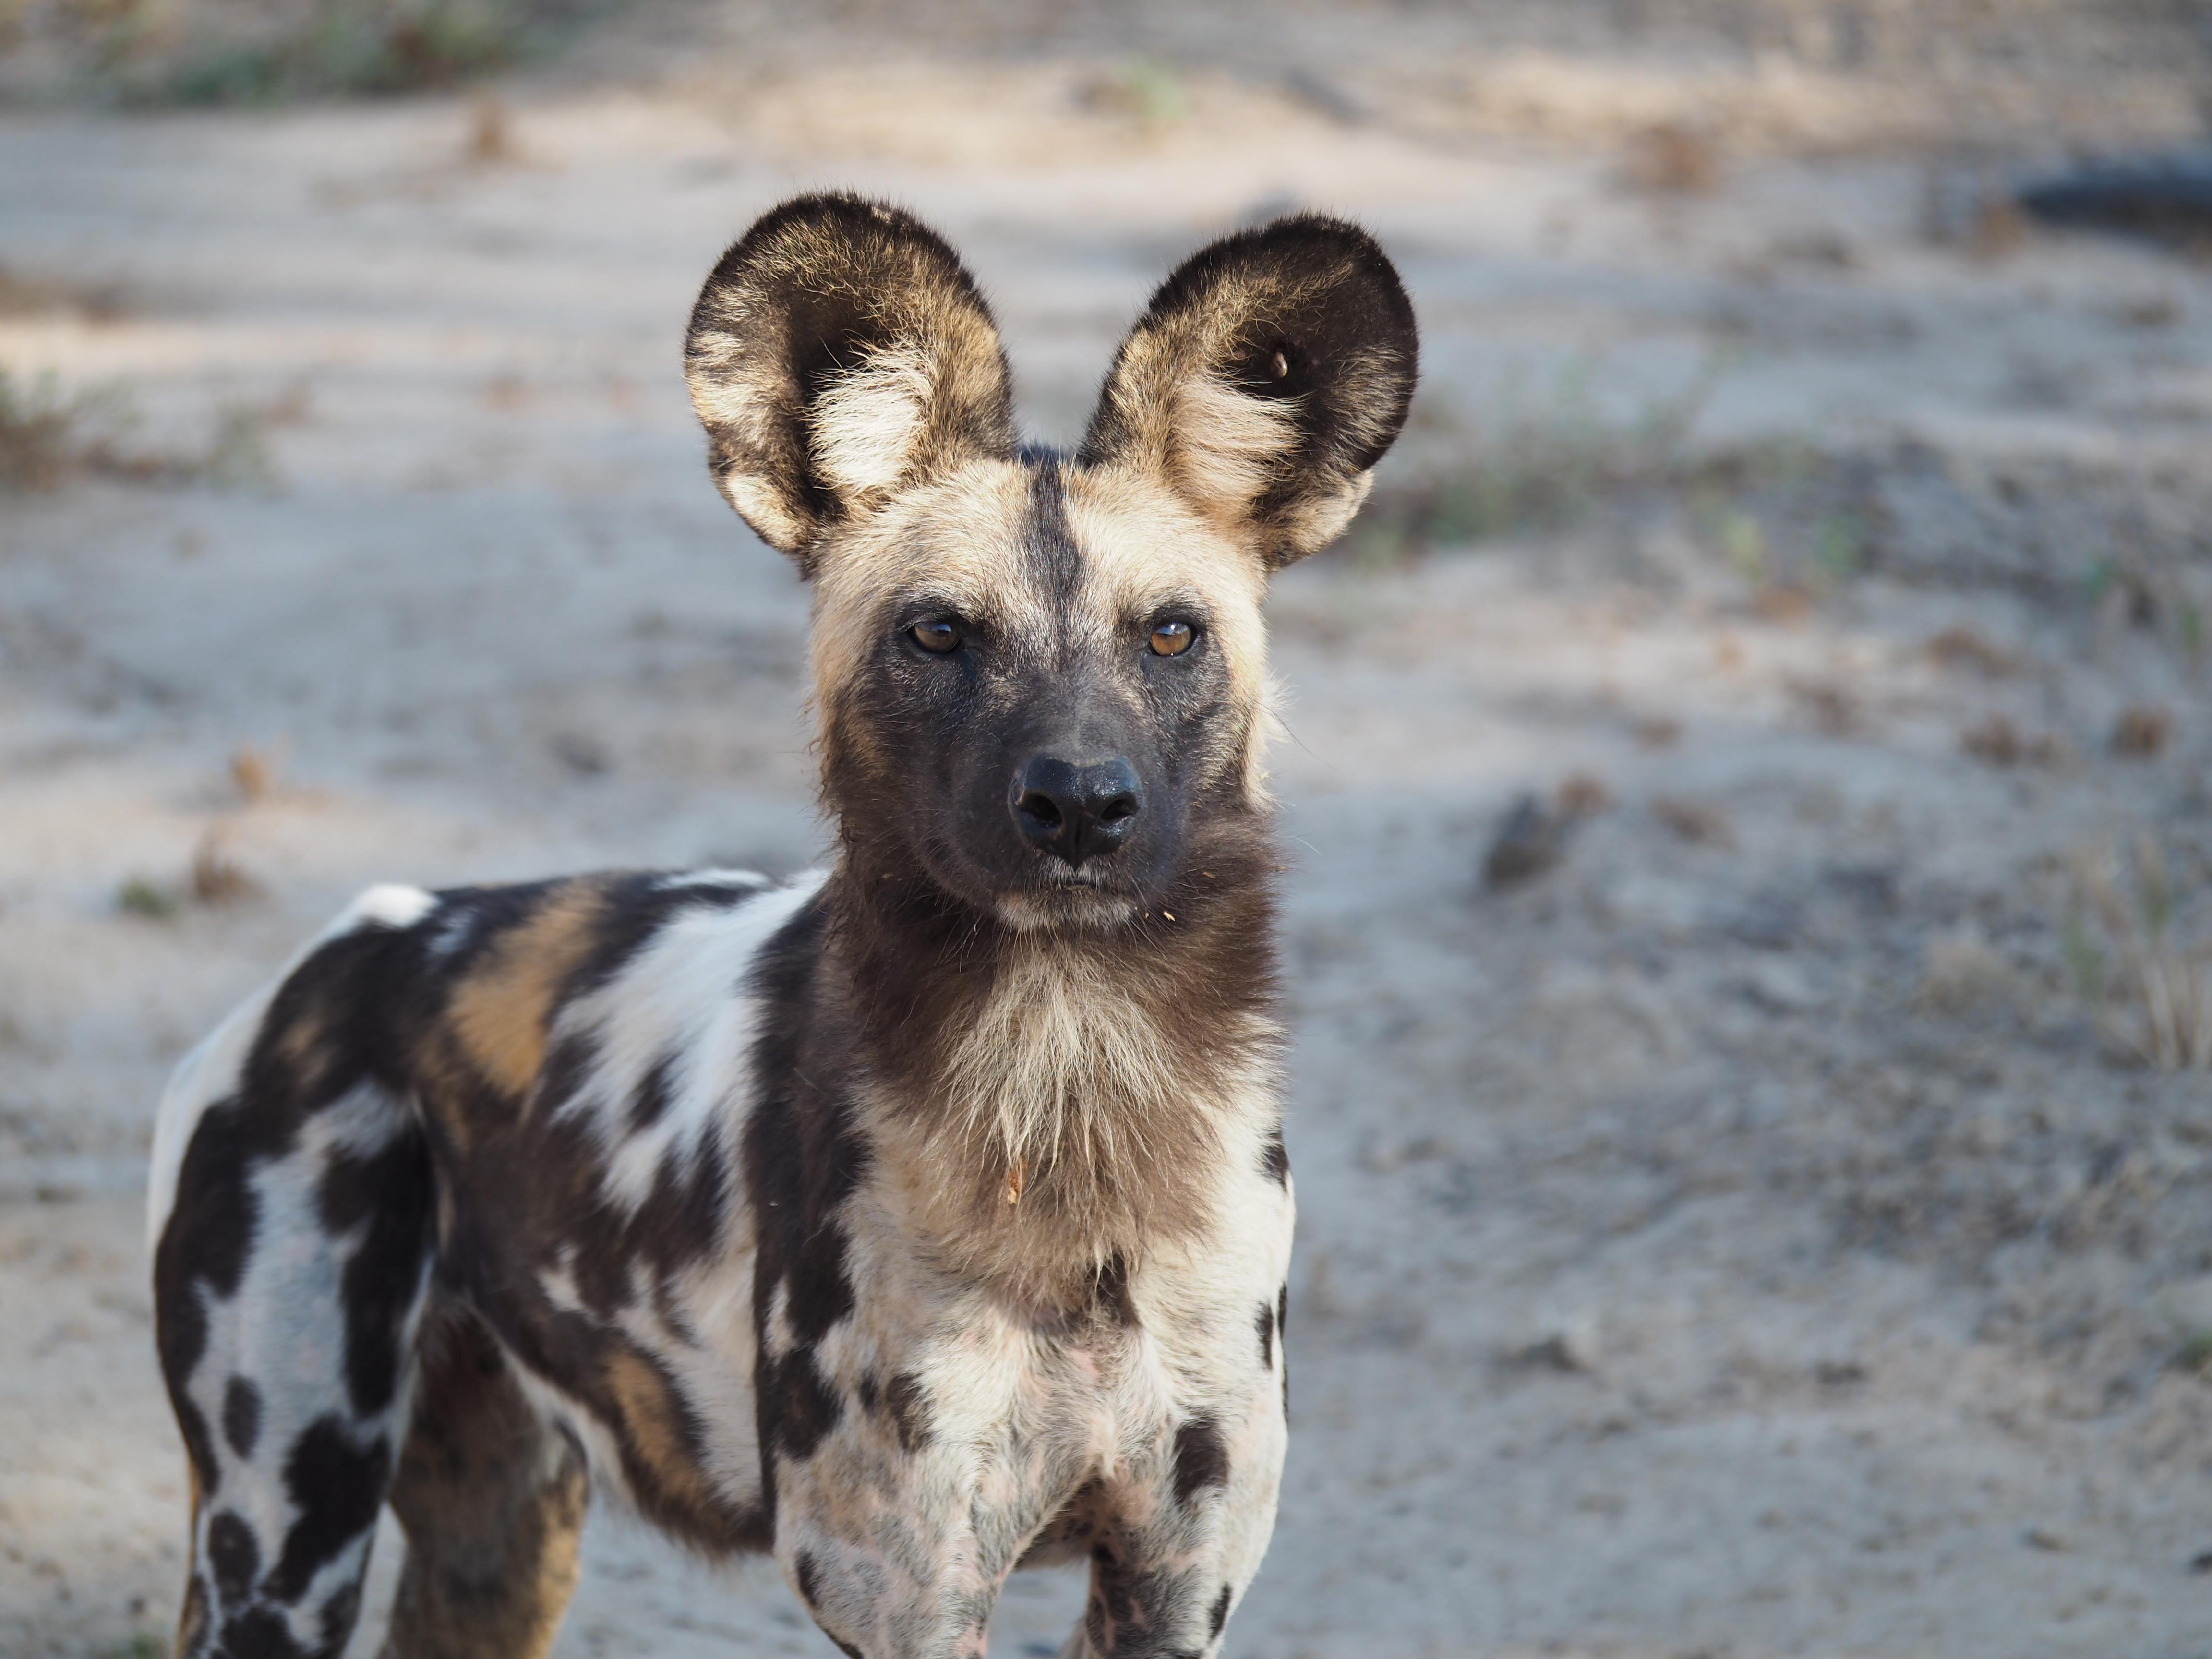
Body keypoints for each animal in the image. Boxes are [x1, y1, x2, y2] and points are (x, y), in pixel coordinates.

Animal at [151, 198, 1416, 1659]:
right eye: (938, 634)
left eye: (1168, 635)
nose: (1080, 806)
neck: (1065, 1084)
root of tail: (329, 959)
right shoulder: (904, 1589)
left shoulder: (1171, 1578)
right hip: (283, 1544)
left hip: (499, 1546)